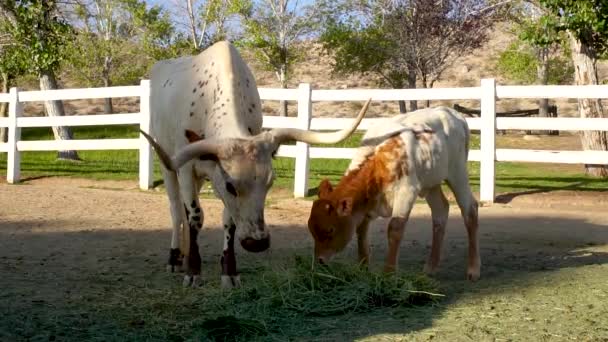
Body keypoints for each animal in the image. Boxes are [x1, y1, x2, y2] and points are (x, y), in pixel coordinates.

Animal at [141, 41, 370, 288]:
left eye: (270, 182)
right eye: (231, 186)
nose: (257, 243)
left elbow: (228, 221)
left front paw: (229, 271)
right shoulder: (186, 169)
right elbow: (195, 216)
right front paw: (193, 271)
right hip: (168, 166)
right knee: (176, 210)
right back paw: (176, 257)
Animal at [308, 107, 480, 280]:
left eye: (330, 230)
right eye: (311, 230)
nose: (320, 260)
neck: (378, 164)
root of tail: (451, 112)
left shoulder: (407, 192)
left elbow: (394, 229)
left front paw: (388, 274)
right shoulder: (367, 206)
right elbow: (361, 231)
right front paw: (363, 269)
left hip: (457, 173)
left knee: (470, 209)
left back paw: (473, 269)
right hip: (431, 182)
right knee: (440, 211)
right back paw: (430, 267)